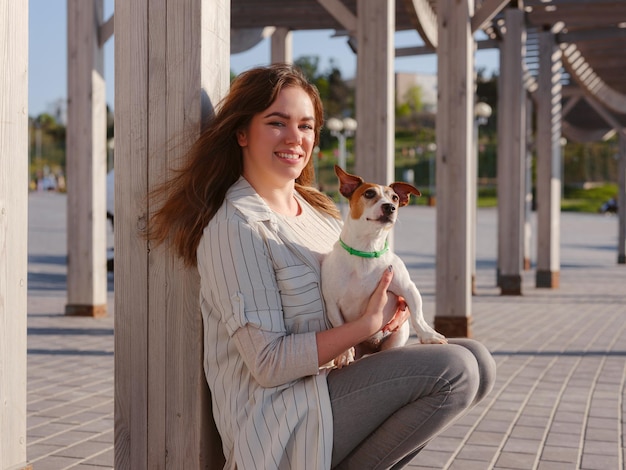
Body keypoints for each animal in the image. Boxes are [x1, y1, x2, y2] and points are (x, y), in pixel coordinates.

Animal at [322, 165, 444, 368]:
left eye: (395, 198)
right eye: (369, 193)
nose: (390, 207)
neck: (366, 250)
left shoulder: (408, 288)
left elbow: (417, 314)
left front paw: (429, 335)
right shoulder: (332, 302)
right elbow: (339, 324)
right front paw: (345, 354)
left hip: (396, 338)